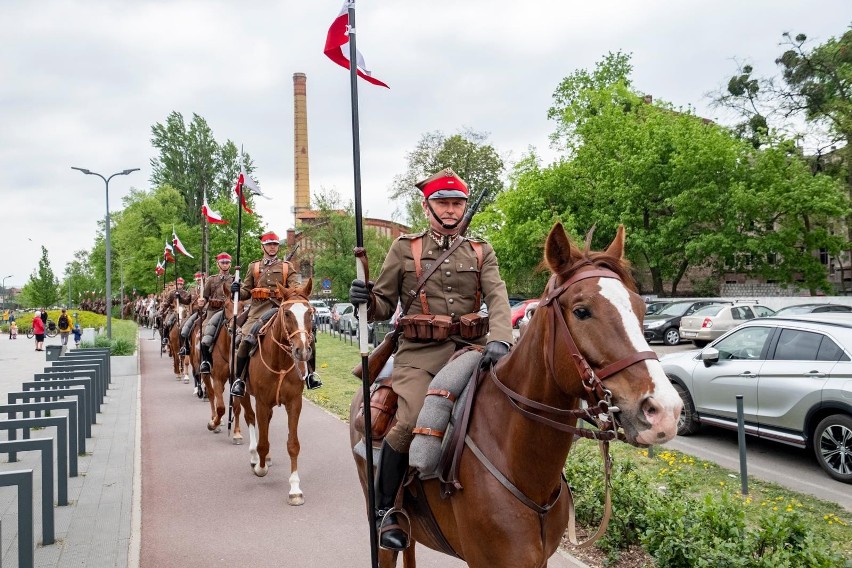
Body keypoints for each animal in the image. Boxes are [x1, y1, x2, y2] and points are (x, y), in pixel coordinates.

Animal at [238, 280, 314, 506]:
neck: (280, 360)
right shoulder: (261, 402)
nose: (302, 351)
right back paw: (255, 457)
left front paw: (295, 489)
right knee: (250, 418)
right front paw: (260, 467)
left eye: (310, 313)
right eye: (287, 313)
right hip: (244, 395)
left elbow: (293, 444)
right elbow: (263, 442)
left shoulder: (294, 403)